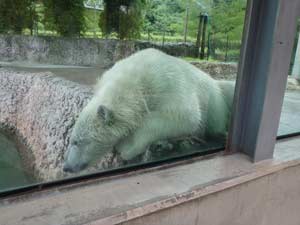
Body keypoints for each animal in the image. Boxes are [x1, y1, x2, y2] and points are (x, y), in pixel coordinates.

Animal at [63, 48, 234, 172]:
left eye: (78, 142)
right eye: (71, 140)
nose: (66, 167)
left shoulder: (166, 85)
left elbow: (184, 116)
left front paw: (126, 146)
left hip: (214, 102)